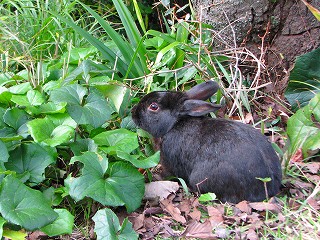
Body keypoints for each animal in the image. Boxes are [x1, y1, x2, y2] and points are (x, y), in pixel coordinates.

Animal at [131, 81, 282, 202]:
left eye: (153, 106)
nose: (133, 112)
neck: (173, 125)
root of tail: (269, 187)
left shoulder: (169, 163)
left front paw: (157, 176)